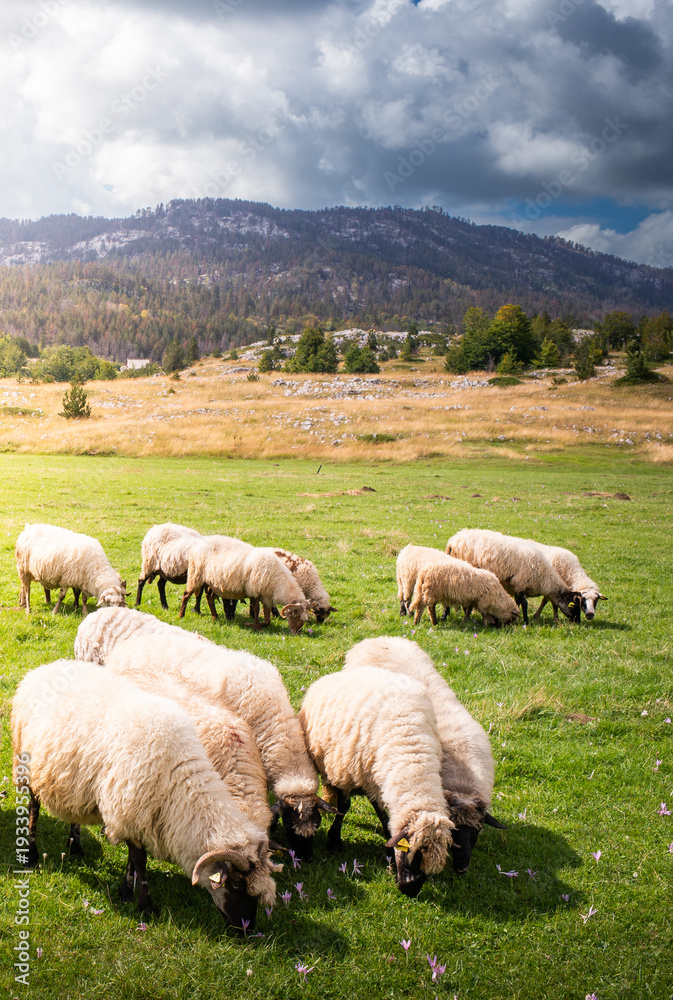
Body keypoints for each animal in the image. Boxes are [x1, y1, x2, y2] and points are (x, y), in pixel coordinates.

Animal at [11, 660, 280, 928]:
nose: (246, 928)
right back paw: (32, 854)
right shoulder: (130, 808)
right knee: (33, 806)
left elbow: (132, 860)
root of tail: (45, 668)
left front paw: (125, 891)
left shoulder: (137, 813)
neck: (178, 775)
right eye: (235, 885)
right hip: (27, 764)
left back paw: (76, 846)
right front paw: (145, 906)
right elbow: (140, 860)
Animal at [178, 536, 317, 634]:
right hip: (196, 575)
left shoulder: (266, 596)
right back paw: (181, 615)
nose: (296, 633)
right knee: (186, 595)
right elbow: (256, 609)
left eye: (304, 619)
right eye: (296, 617)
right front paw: (255, 626)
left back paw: (215, 617)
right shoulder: (254, 590)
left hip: (213, 582)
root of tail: (198, 544)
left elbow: (267, 619)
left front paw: (260, 625)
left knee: (209, 598)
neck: (278, 581)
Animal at [298, 666, 454, 896]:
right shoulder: (346, 774)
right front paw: (334, 841)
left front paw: (388, 847)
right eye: (412, 853)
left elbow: (383, 814)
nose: (410, 890)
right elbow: (344, 807)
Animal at [445, 528, 581, 625]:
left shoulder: (517, 587)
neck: (543, 576)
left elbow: (518, 602)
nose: (578, 622)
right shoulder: (520, 584)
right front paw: (526, 621)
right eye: (574, 607)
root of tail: (453, 540)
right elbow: (524, 604)